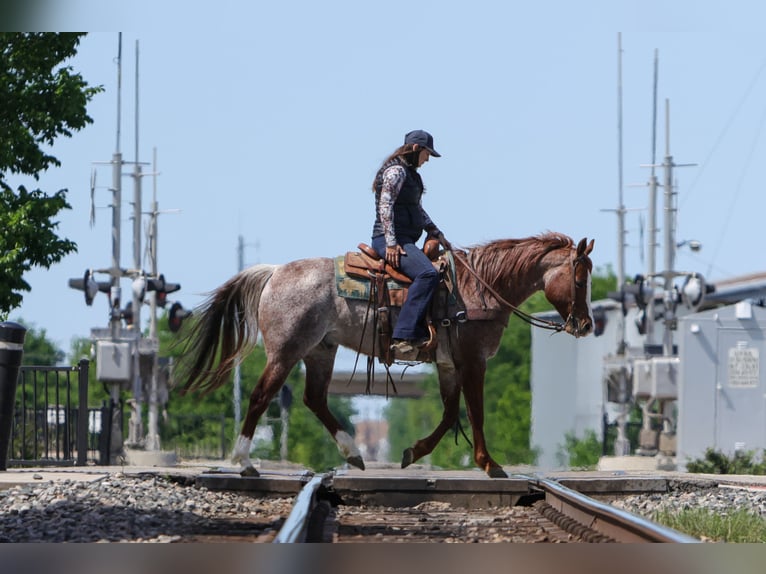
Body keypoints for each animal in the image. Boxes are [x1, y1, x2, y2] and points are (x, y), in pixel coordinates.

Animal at [176, 232, 595, 478]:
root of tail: (275, 272)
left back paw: (353, 454)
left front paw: (414, 452)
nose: (586, 324)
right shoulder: (473, 361)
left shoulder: (449, 364)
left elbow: (450, 414)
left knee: (314, 398)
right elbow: (473, 411)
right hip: (286, 351)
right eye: (579, 278)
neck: (479, 289)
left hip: (320, 351)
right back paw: (245, 461)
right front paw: (490, 464)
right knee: (262, 396)